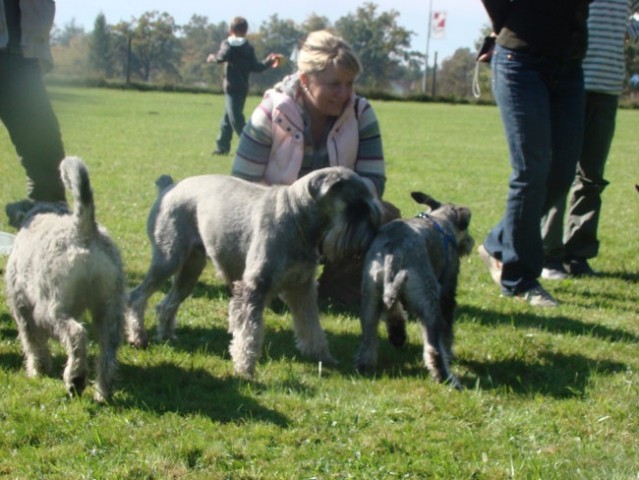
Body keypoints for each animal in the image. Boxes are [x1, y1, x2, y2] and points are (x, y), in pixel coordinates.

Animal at [4, 158, 125, 402]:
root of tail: (84, 229)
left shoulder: (22, 306)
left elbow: (32, 342)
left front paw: (38, 369)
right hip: (110, 310)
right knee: (108, 352)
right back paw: (102, 391)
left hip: (49, 311)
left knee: (77, 334)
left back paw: (75, 378)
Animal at [127, 167, 382, 376]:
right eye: (357, 207)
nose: (373, 236)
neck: (297, 217)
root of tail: (169, 186)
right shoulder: (255, 287)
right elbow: (249, 332)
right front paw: (245, 368)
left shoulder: (302, 288)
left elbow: (311, 325)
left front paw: (322, 356)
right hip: (167, 259)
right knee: (136, 296)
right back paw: (138, 337)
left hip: (190, 270)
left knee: (167, 303)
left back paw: (167, 336)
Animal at [356, 189, 476, 388]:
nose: (470, 242)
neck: (440, 222)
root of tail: (394, 252)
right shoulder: (448, 293)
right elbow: (448, 331)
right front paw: (450, 353)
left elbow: (395, 312)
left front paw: (397, 334)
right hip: (429, 302)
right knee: (433, 348)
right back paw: (447, 378)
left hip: (370, 296)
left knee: (369, 338)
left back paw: (366, 365)